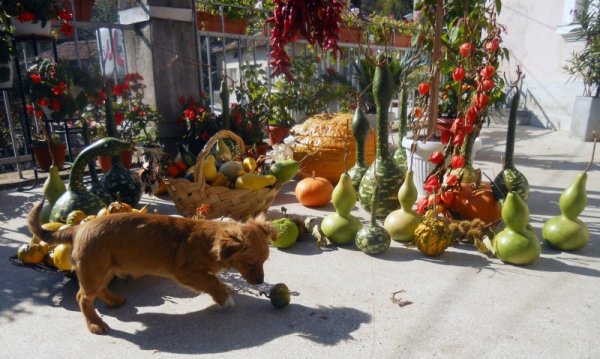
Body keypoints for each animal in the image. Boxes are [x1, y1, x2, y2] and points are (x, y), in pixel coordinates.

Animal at [26, 202, 274, 334]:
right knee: (83, 298)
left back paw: (114, 300)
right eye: (251, 263)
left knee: (100, 290)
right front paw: (225, 298)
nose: (261, 282)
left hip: (107, 269)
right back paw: (95, 324)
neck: (209, 240)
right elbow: (212, 281)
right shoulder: (186, 272)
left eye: (265, 261)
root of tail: (78, 229)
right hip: (94, 271)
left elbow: (213, 279)